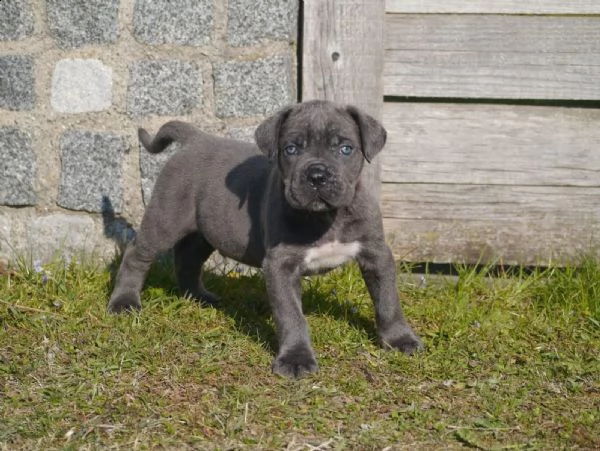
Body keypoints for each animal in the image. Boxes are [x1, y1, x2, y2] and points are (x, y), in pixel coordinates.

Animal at [110, 100, 424, 378]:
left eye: (346, 148)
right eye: (291, 149)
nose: (317, 175)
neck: (326, 218)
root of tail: (195, 138)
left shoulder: (376, 253)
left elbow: (388, 300)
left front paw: (399, 339)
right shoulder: (280, 265)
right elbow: (291, 316)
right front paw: (296, 359)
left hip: (206, 229)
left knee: (188, 258)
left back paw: (198, 296)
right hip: (166, 217)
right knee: (137, 254)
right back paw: (124, 302)